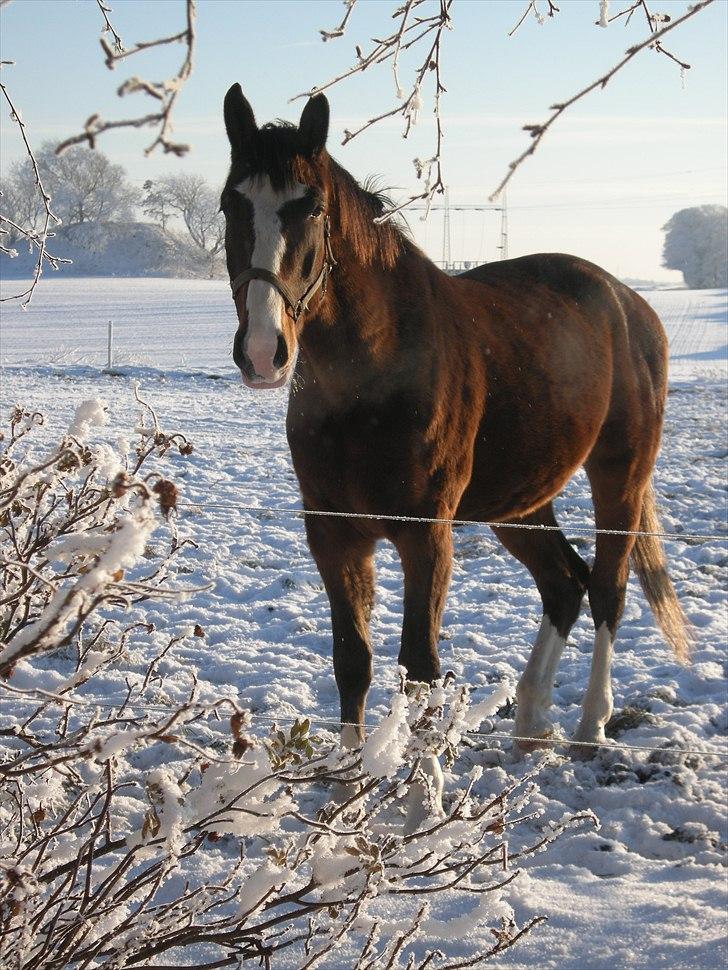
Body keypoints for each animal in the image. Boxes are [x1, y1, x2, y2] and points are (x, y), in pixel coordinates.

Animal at [222, 83, 688, 760]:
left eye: (310, 208)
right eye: (231, 203)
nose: (262, 351)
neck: (373, 378)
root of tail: (631, 305)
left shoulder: (427, 536)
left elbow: (420, 668)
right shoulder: (333, 533)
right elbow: (352, 660)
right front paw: (348, 777)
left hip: (619, 478)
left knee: (607, 588)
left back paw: (589, 725)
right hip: (519, 501)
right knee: (564, 583)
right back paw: (530, 719)